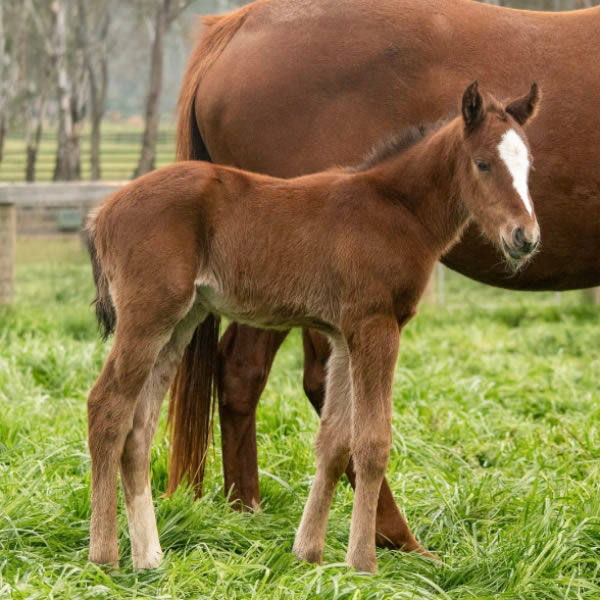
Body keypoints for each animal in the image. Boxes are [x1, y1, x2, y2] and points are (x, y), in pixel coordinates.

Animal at [86, 82, 540, 576]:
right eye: (483, 163)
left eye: (528, 165)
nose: (525, 237)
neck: (395, 210)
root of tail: (102, 211)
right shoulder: (375, 327)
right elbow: (372, 441)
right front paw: (363, 563)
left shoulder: (342, 336)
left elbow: (334, 442)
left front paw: (309, 554)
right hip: (147, 317)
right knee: (106, 407)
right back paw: (104, 556)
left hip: (179, 322)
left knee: (139, 426)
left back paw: (149, 558)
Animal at [168, 0, 600, 552]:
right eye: (482, 165)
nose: (525, 236)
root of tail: (238, 24)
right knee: (269, 376)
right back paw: (381, 534)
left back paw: (250, 512)